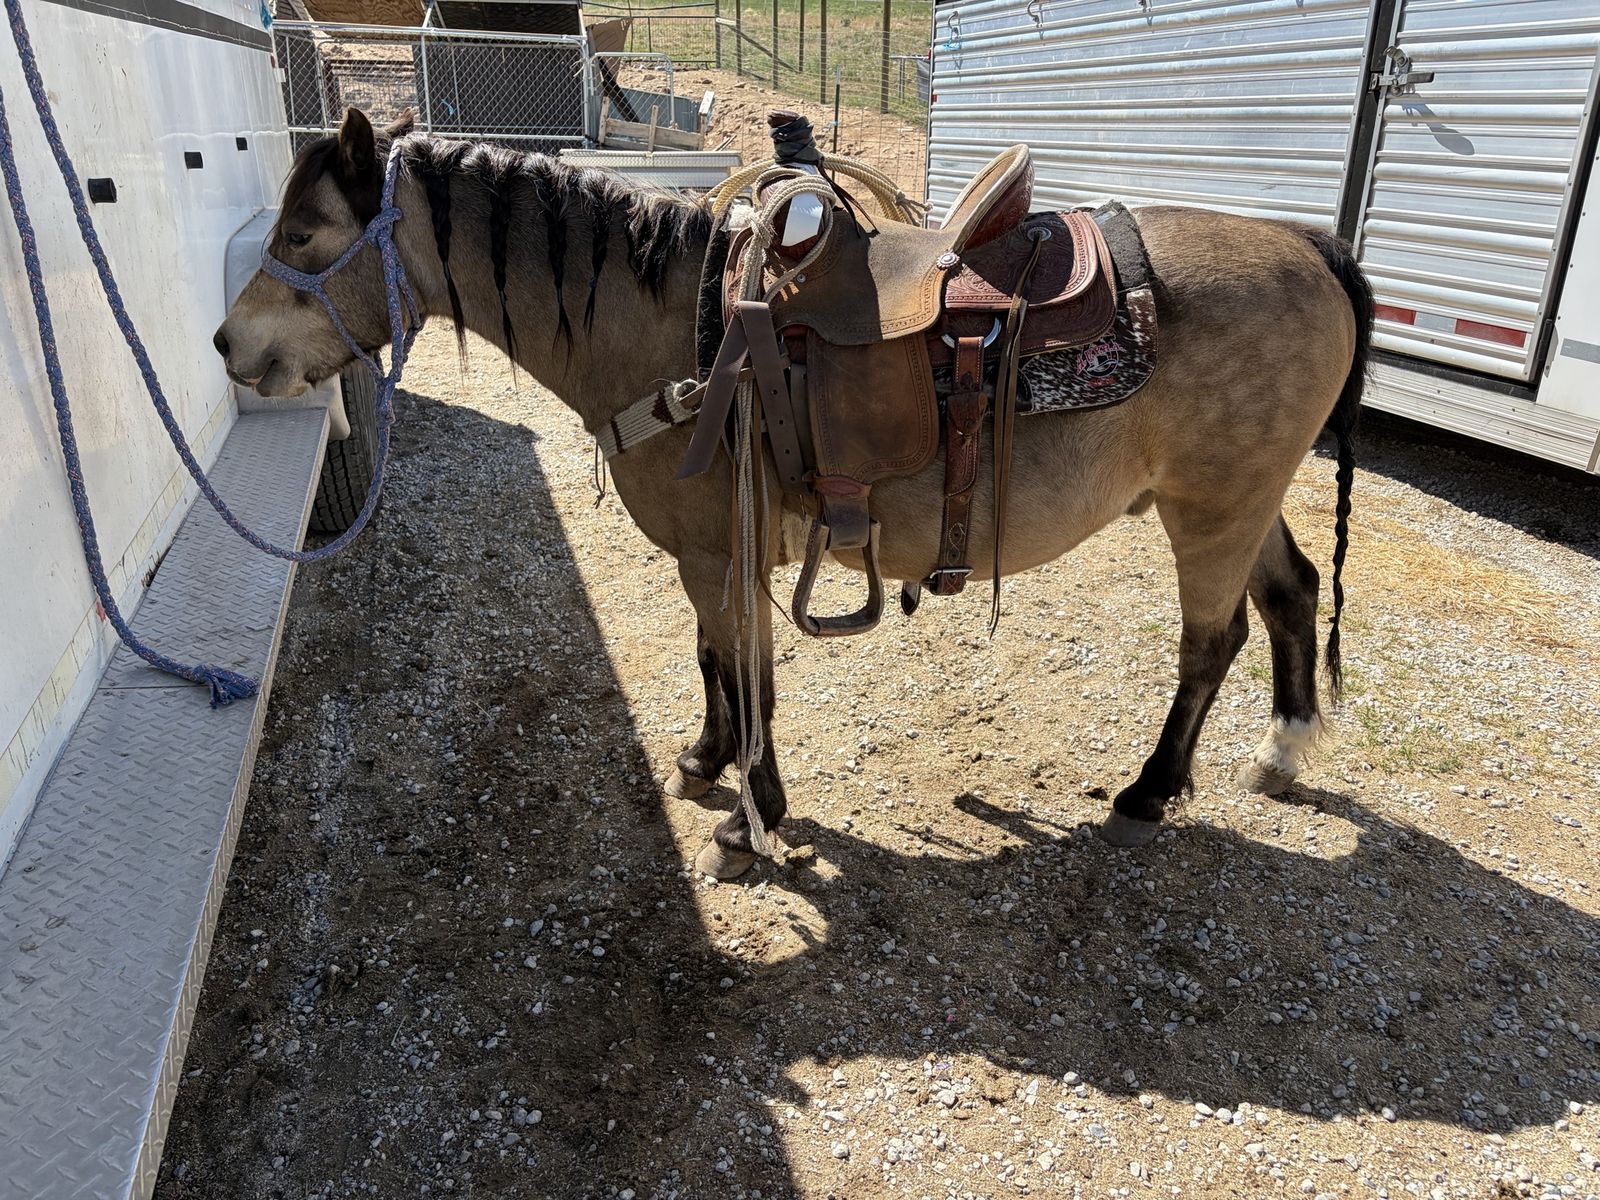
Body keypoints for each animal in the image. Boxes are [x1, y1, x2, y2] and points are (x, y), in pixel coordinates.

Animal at [214, 108, 1371, 879]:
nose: (230, 345)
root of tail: (1310, 245)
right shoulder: (711, 550)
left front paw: (754, 816)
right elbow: (718, 662)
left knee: (1210, 642)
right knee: (1289, 593)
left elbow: (751, 674)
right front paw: (708, 759)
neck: (677, 331)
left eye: (304, 237)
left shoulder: (722, 550)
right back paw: (1282, 748)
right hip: (1238, 499)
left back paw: (1147, 791)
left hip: (1212, 507)